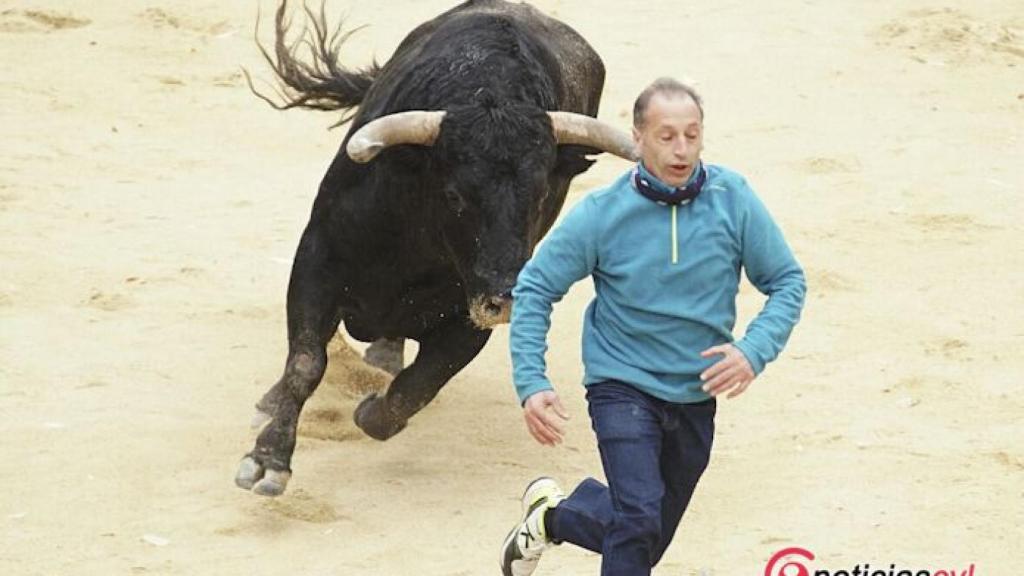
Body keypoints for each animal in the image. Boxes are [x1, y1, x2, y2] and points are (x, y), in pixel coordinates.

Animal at [235, 0, 634, 494]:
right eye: (455, 195)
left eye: (542, 194)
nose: (505, 299)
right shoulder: (317, 260)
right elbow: (307, 360)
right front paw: (267, 460)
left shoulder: (468, 317)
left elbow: (415, 387)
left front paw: (371, 408)